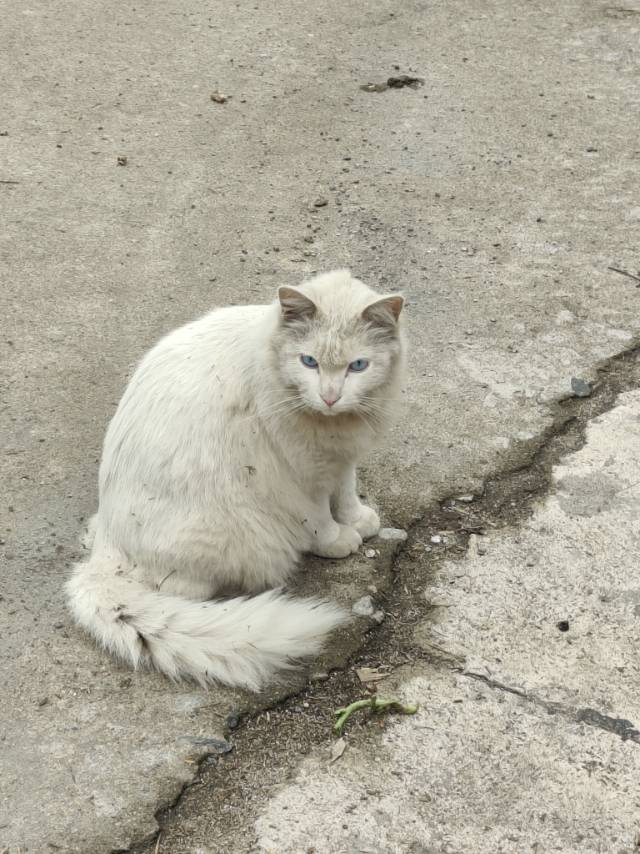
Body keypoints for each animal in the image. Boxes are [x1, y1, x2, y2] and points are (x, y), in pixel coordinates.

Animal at [67, 270, 408, 692]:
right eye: (308, 362)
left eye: (358, 366)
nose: (330, 397)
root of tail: (104, 550)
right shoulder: (299, 473)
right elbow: (318, 517)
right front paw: (337, 539)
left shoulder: (342, 456)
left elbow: (345, 489)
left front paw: (358, 518)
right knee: (175, 590)